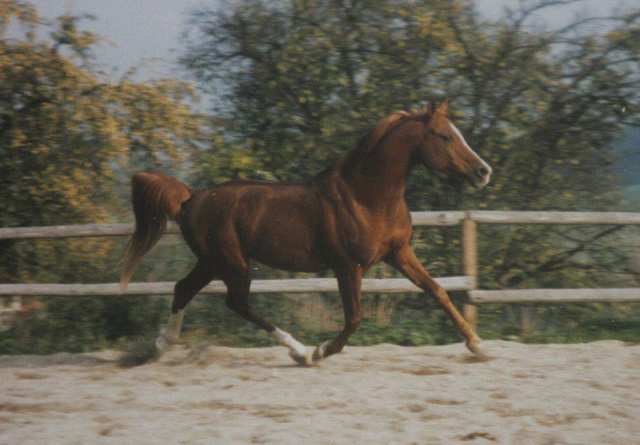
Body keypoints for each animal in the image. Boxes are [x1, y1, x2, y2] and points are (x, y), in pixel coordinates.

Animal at [121, 100, 490, 364]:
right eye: (445, 136)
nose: (483, 171)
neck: (365, 197)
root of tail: (191, 198)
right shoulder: (347, 266)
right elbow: (354, 317)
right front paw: (321, 351)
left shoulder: (398, 252)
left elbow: (437, 290)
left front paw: (478, 345)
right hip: (232, 264)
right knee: (237, 302)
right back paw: (299, 351)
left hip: (212, 262)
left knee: (184, 289)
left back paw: (161, 346)